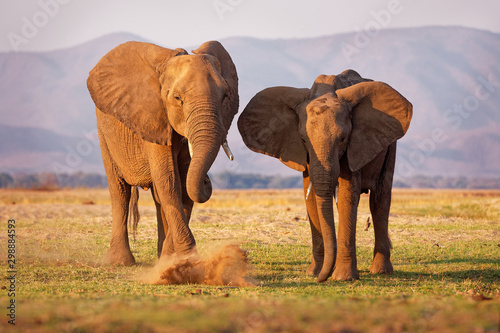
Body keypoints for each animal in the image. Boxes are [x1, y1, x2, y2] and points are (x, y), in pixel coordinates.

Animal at [86, 40, 238, 264]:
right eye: (177, 98)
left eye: (225, 96)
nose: (207, 180)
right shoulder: (152, 118)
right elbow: (169, 181)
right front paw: (188, 260)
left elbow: (182, 185)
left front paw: (171, 259)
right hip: (104, 131)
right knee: (119, 190)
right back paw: (119, 262)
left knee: (156, 197)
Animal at [238, 70, 414, 280]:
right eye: (303, 140)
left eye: (343, 139)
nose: (322, 279)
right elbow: (312, 199)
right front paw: (314, 273)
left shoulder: (354, 144)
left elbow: (347, 196)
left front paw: (343, 277)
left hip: (389, 146)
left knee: (380, 201)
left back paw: (381, 271)